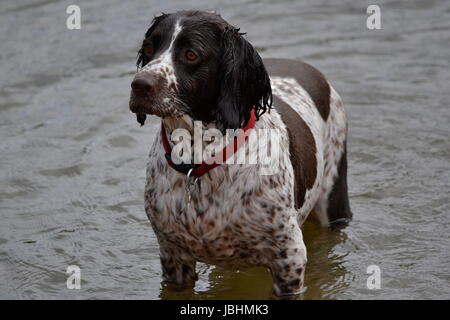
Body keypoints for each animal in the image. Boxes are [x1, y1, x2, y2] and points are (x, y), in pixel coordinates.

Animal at [127, 9, 352, 298]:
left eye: (191, 54)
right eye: (149, 48)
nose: (139, 85)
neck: (199, 161)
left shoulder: (288, 258)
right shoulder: (173, 257)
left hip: (334, 201)